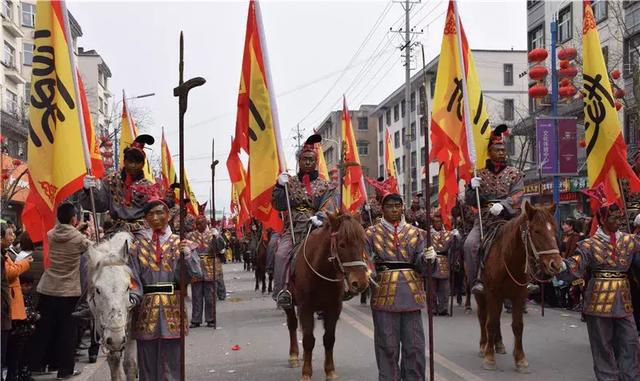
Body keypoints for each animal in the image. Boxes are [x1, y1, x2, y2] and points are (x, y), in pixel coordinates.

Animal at [86, 232, 138, 380]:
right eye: (98, 290)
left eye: (128, 287)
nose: (116, 339)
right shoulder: (100, 324)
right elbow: (113, 360)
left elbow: (129, 364)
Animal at [284, 212, 370, 378]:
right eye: (342, 244)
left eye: (363, 242)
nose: (360, 282)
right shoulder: (305, 308)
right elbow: (308, 340)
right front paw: (306, 373)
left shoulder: (333, 308)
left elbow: (329, 339)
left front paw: (330, 371)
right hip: (289, 304)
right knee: (292, 325)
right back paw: (293, 356)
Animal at [472, 202, 564, 372]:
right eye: (536, 231)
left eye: (554, 230)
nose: (555, 264)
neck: (509, 260)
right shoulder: (493, 294)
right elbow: (490, 323)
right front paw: (489, 358)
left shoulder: (519, 296)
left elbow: (518, 325)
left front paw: (520, 359)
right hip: (481, 295)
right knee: (483, 317)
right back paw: (484, 345)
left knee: (496, 318)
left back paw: (499, 344)